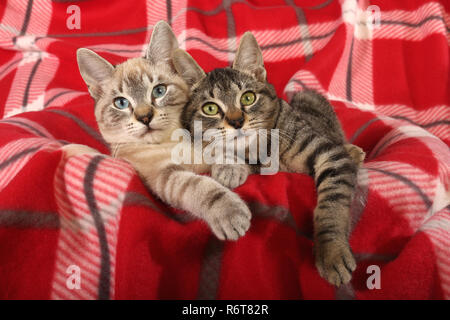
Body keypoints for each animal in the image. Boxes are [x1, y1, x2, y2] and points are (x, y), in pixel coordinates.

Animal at [78, 21, 253, 240]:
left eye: (159, 91)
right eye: (121, 103)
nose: (144, 117)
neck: (171, 141)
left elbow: (219, 145)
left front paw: (230, 167)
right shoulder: (164, 175)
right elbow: (201, 187)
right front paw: (229, 211)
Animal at [172, 33, 362, 288]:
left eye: (248, 97)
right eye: (210, 108)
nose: (236, 122)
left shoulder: (329, 154)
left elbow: (332, 204)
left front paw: (332, 251)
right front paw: (228, 166)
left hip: (310, 99)